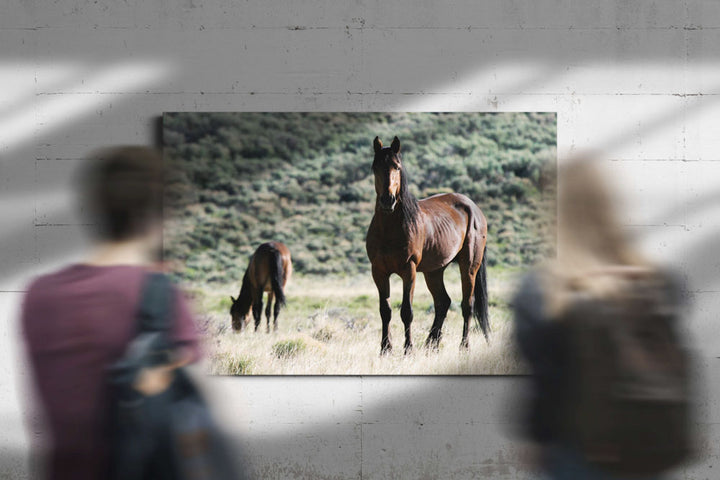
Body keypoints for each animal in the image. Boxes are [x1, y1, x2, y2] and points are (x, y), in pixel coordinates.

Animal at [366, 135, 490, 352]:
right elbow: (385, 310)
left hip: (469, 266)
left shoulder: (409, 270)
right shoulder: (379, 271)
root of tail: (474, 208)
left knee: (467, 305)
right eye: (375, 167)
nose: (388, 200)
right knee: (443, 302)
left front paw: (408, 349)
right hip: (434, 271)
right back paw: (431, 343)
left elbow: (406, 311)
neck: (390, 229)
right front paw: (385, 349)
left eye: (397, 167)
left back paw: (463, 346)